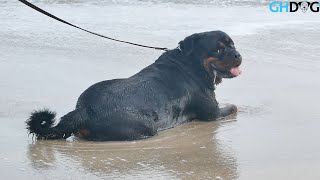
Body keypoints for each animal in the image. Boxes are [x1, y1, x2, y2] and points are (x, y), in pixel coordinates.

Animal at [26, 30, 242, 141]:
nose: (238, 55)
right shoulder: (212, 113)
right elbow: (233, 107)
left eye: (232, 45)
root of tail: (86, 109)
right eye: (218, 49)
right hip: (144, 128)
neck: (192, 63)